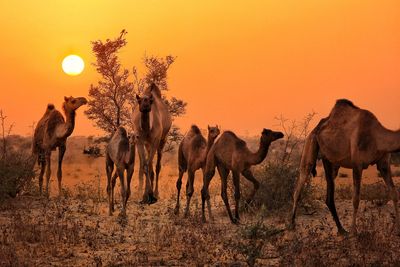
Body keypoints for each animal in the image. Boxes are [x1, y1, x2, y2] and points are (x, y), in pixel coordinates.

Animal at [290, 99, 400, 236]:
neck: (376, 136)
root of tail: (316, 128)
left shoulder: (383, 164)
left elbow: (394, 193)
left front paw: (397, 229)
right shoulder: (357, 163)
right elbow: (356, 199)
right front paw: (354, 231)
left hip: (329, 161)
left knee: (329, 196)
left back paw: (342, 230)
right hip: (310, 143)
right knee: (301, 181)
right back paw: (292, 225)